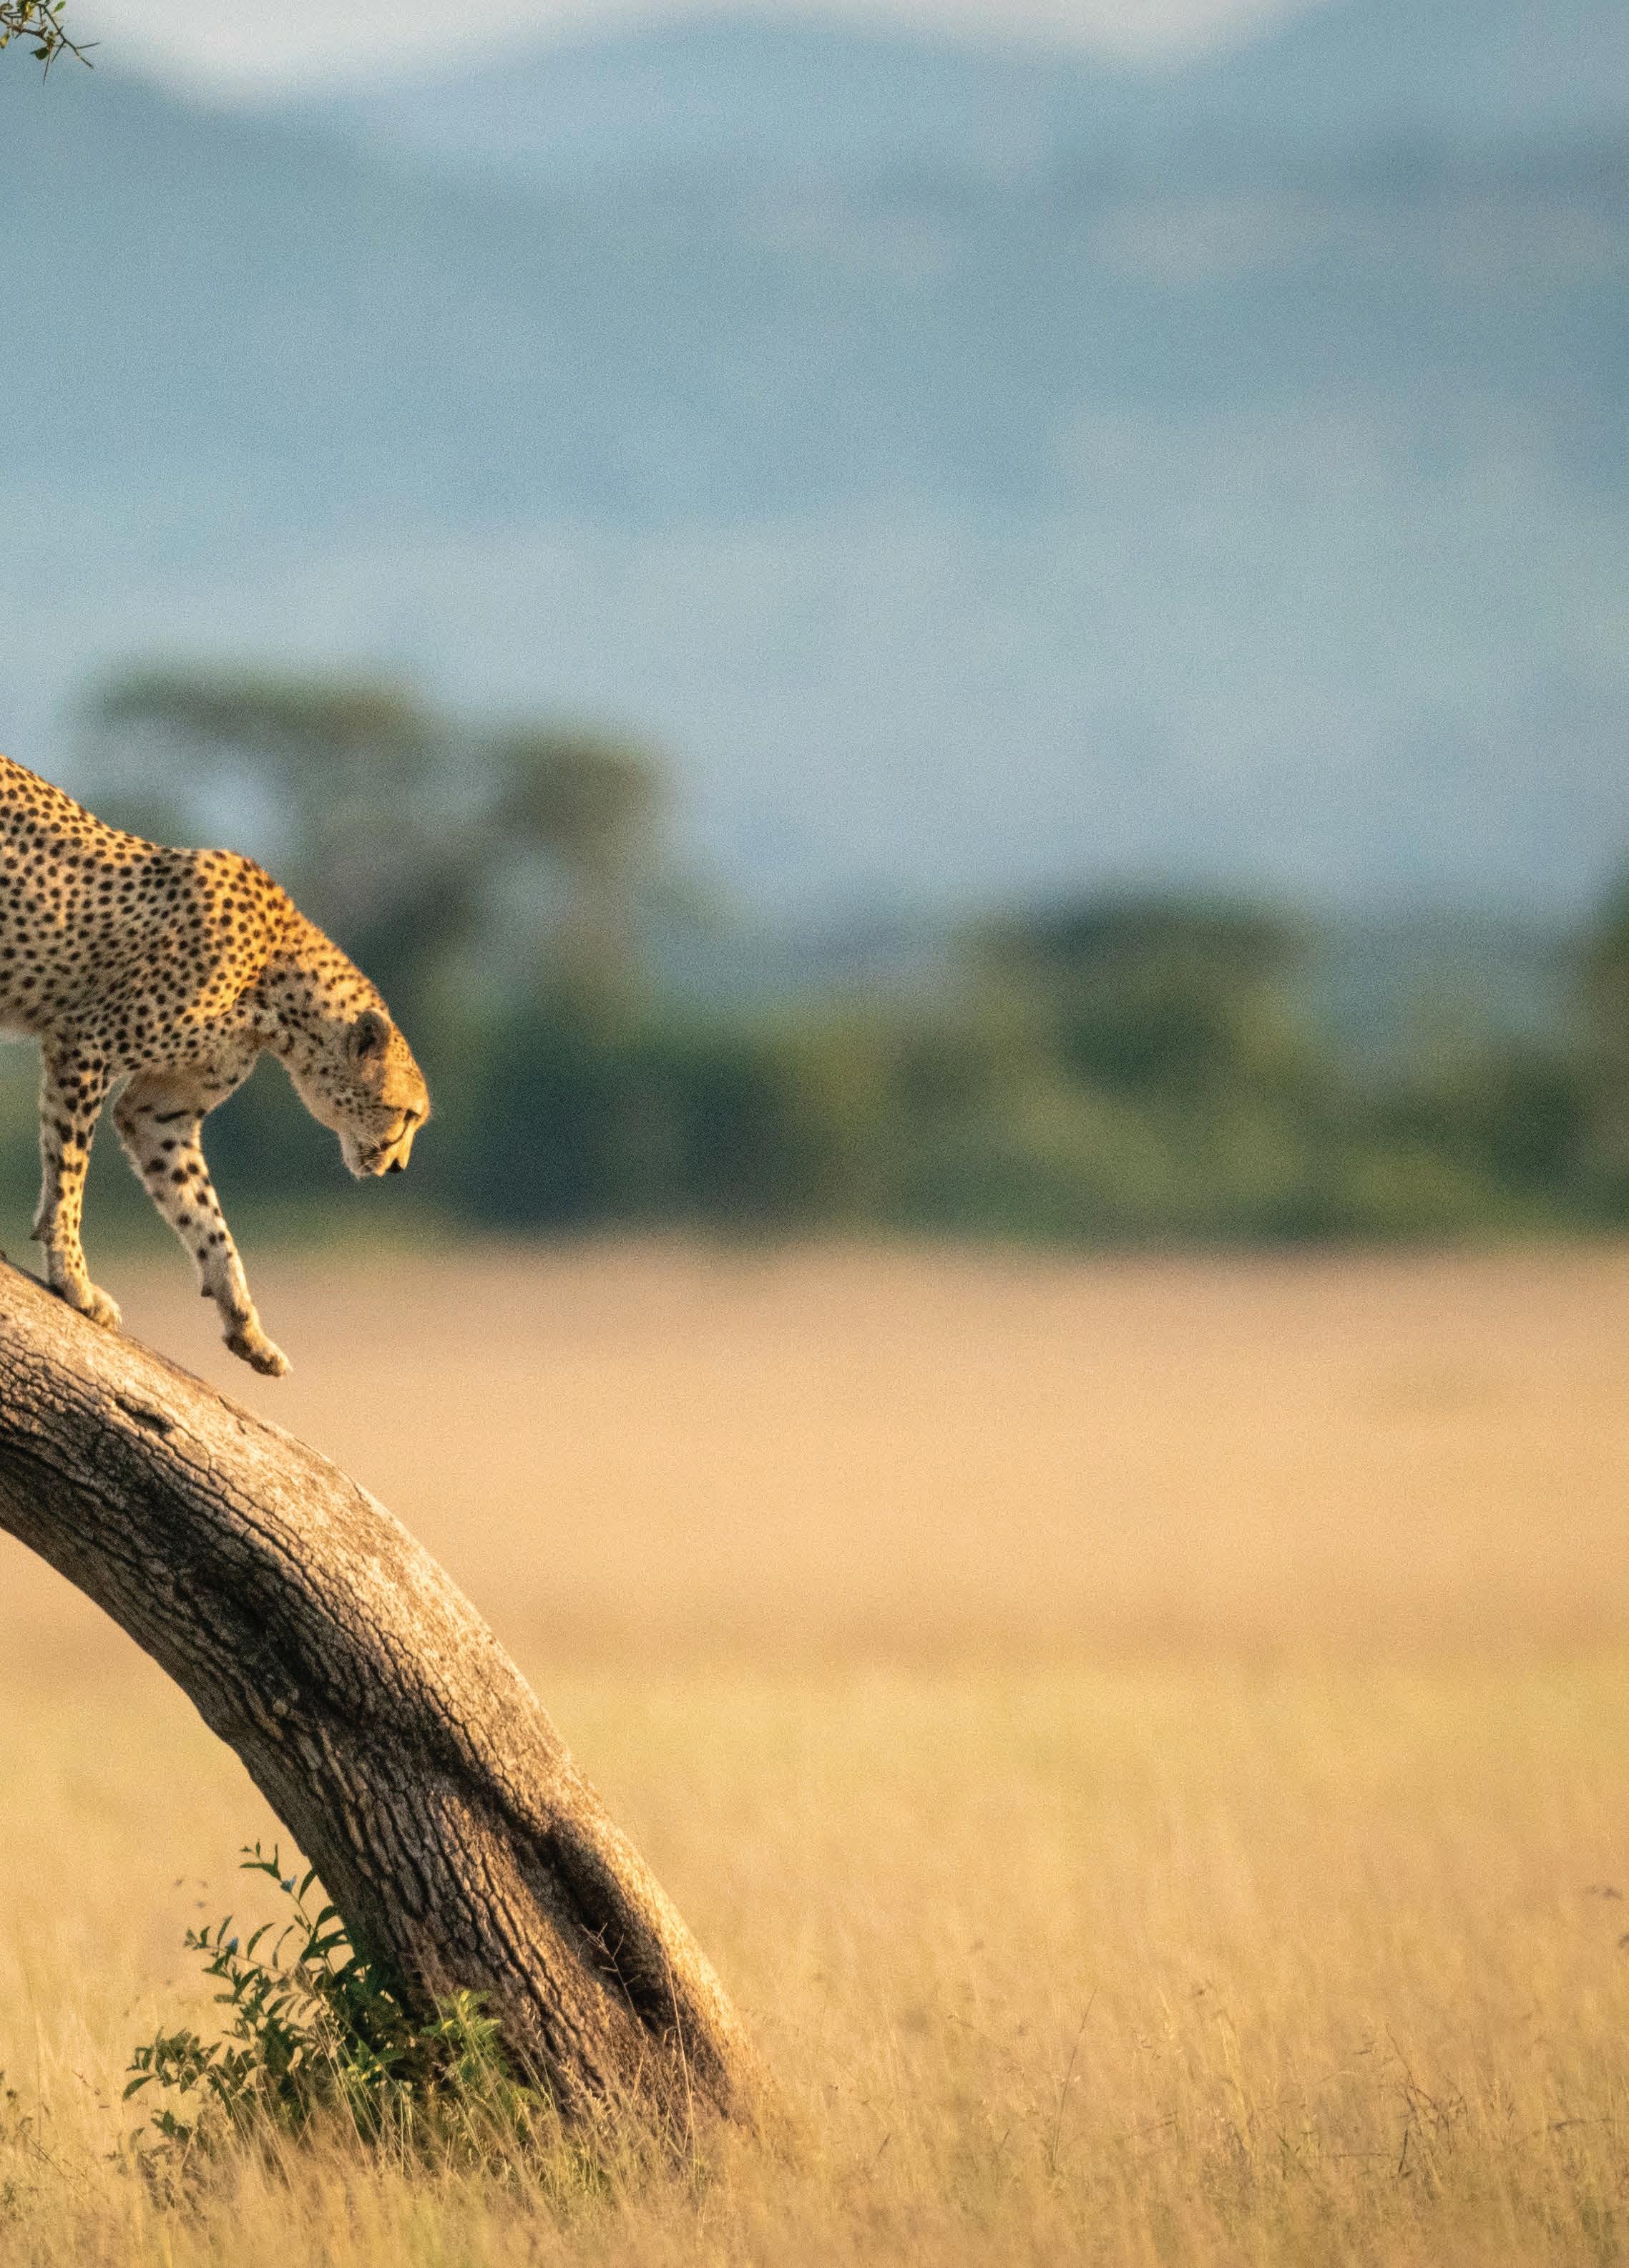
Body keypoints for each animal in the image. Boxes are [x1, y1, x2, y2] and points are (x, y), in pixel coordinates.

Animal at [0, 751, 429, 1377]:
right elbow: (69, 1175)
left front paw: (247, 1325)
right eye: (408, 1115)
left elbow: (205, 1215)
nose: (398, 1168)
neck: (275, 986)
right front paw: (73, 1282)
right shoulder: (85, 1045)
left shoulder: (158, 1112)